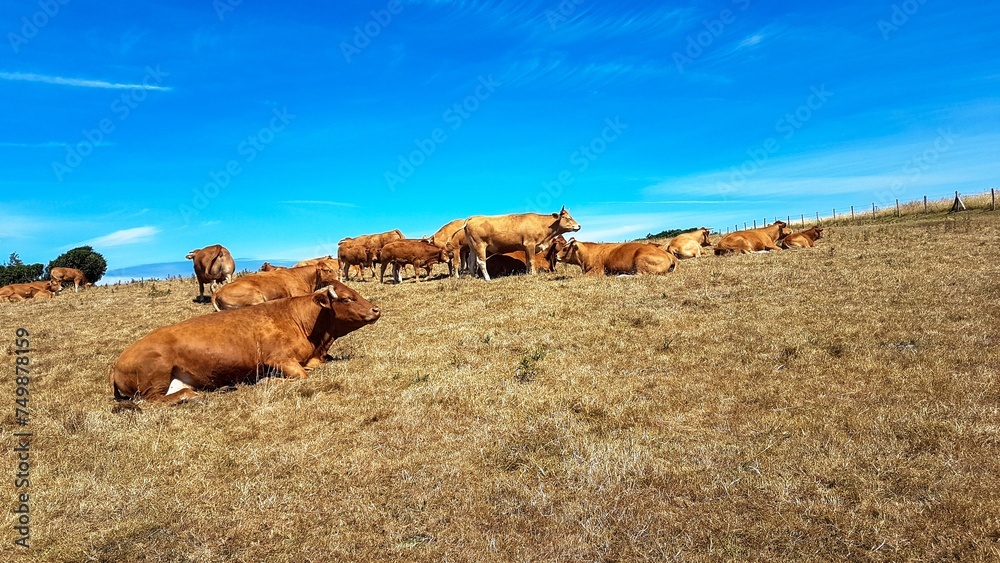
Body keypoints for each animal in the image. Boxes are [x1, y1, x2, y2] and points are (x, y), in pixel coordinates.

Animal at [110, 282, 380, 406]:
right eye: (346, 298)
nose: (376, 309)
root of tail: (117, 362)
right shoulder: (279, 360)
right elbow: (302, 376)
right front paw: (267, 381)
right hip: (155, 379)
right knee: (153, 401)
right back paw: (193, 395)